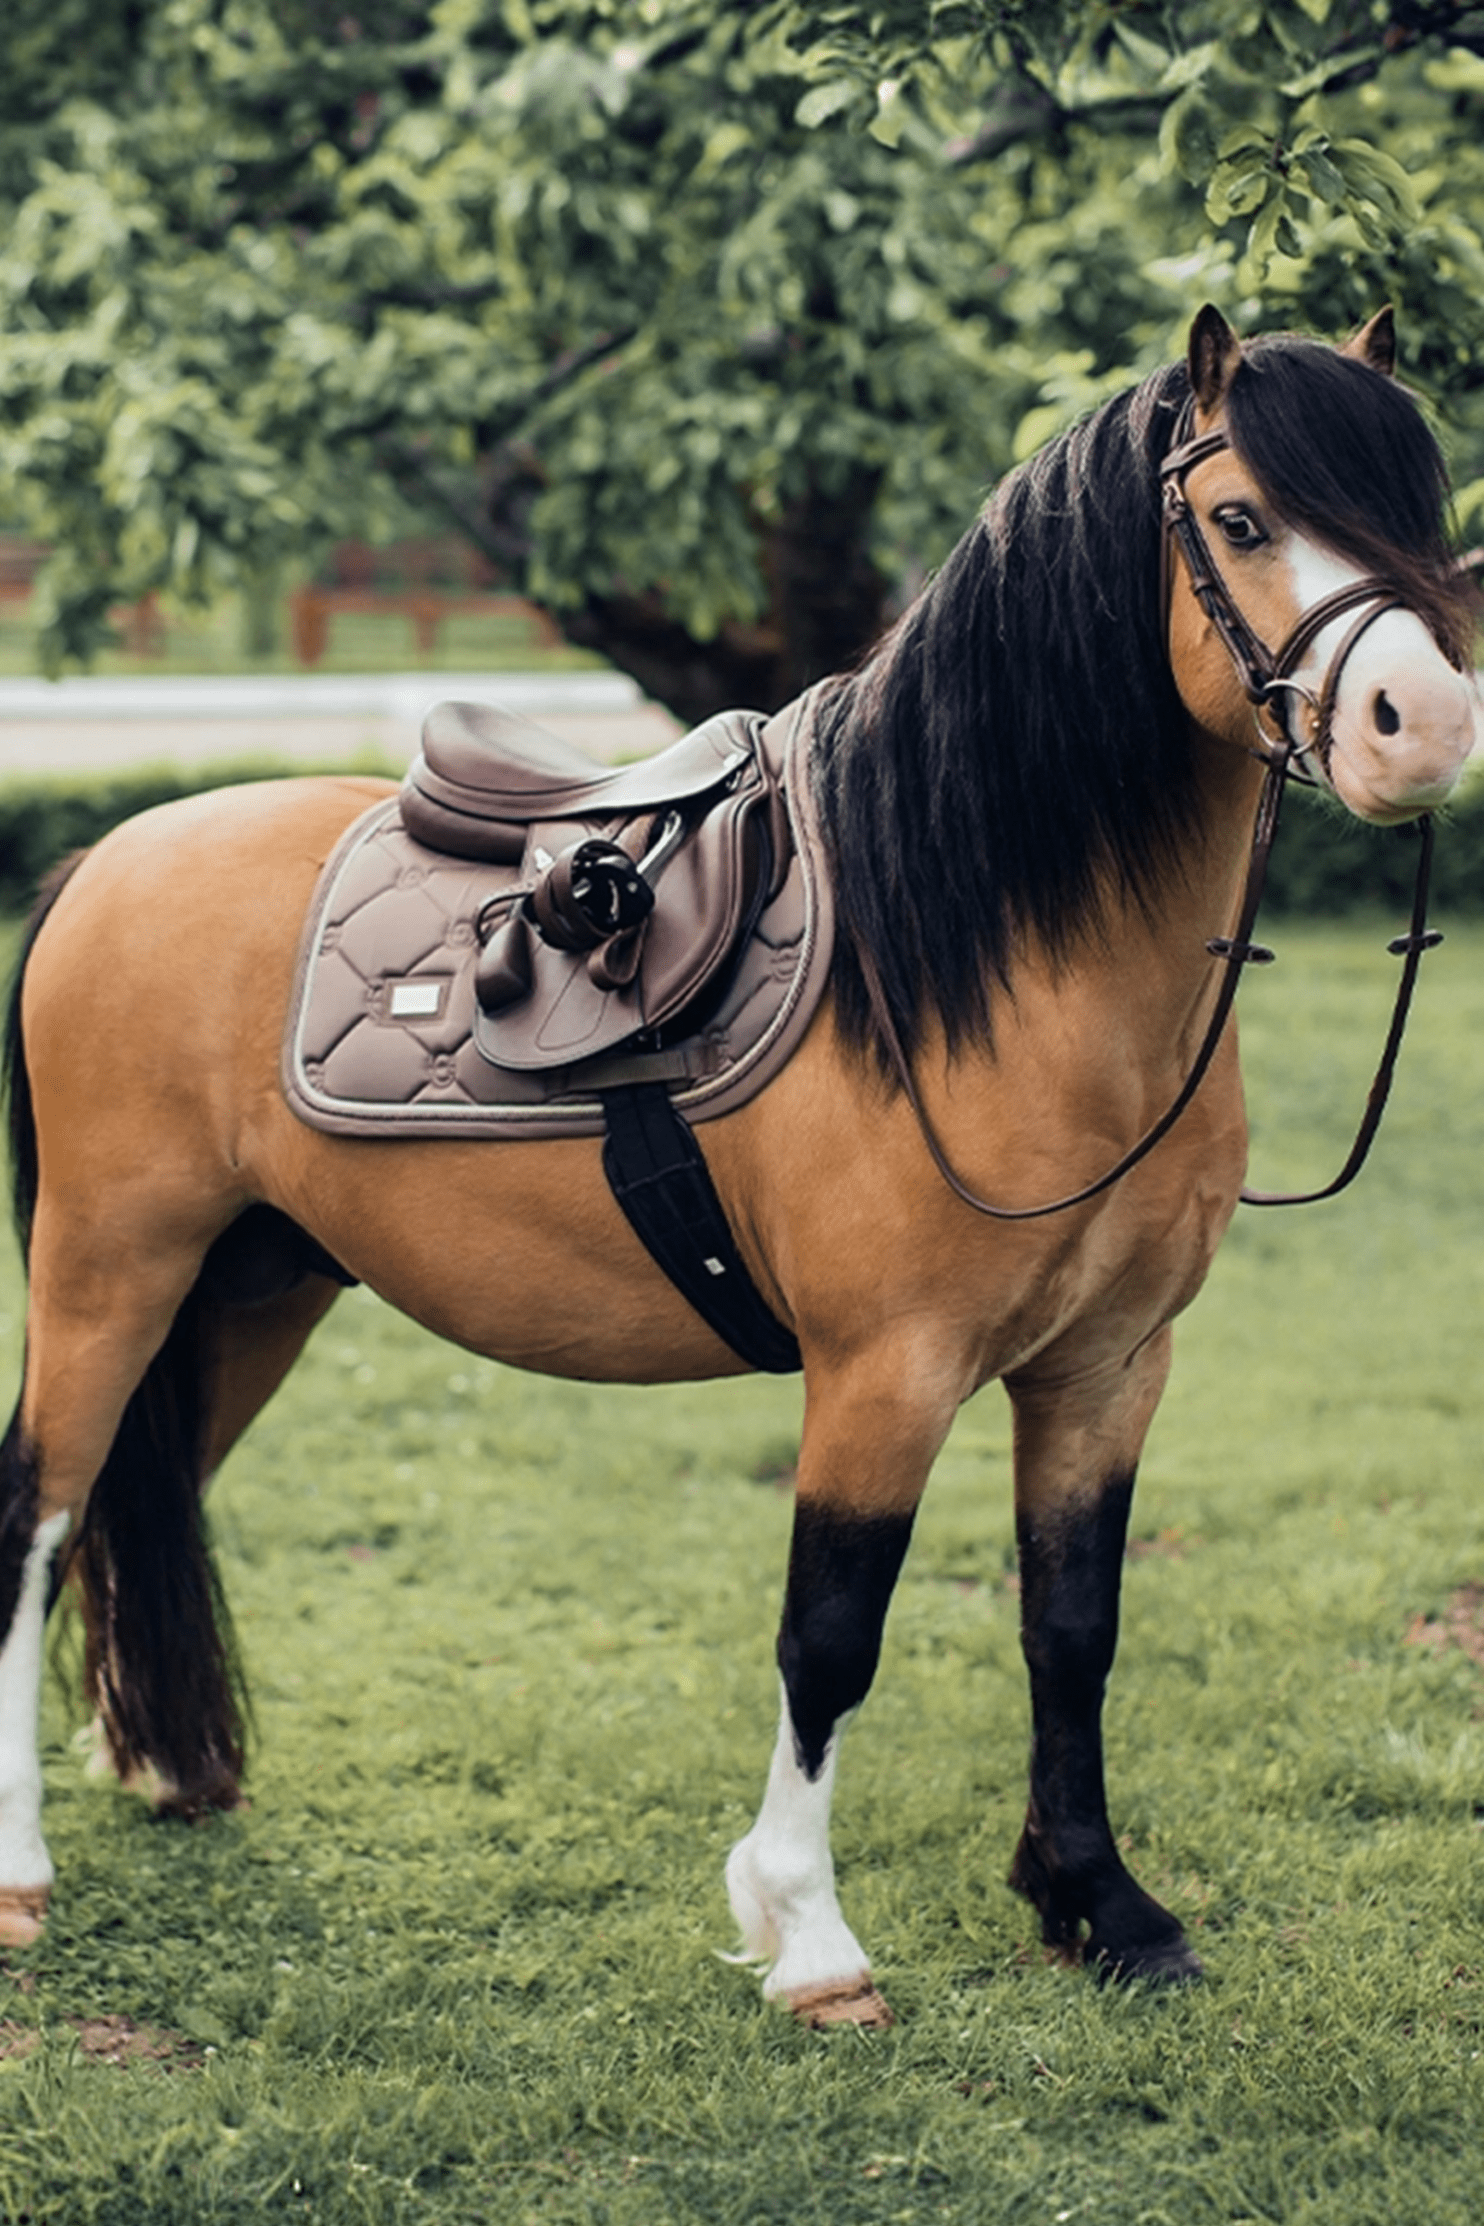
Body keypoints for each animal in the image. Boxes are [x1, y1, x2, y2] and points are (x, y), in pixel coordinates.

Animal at [0, 306, 1476, 2028]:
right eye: (1239, 519)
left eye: (1421, 507)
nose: (1428, 725)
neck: (967, 962)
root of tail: (110, 852)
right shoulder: (885, 1370)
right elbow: (829, 1638)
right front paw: (811, 1936)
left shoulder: (1109, 1367)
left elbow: (1073, 1625)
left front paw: (1098, 1903)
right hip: (109, 1267)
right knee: (36, 1517)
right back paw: (21, 1870)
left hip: (247, 1294)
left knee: (135, 1498)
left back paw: (159, 1771)